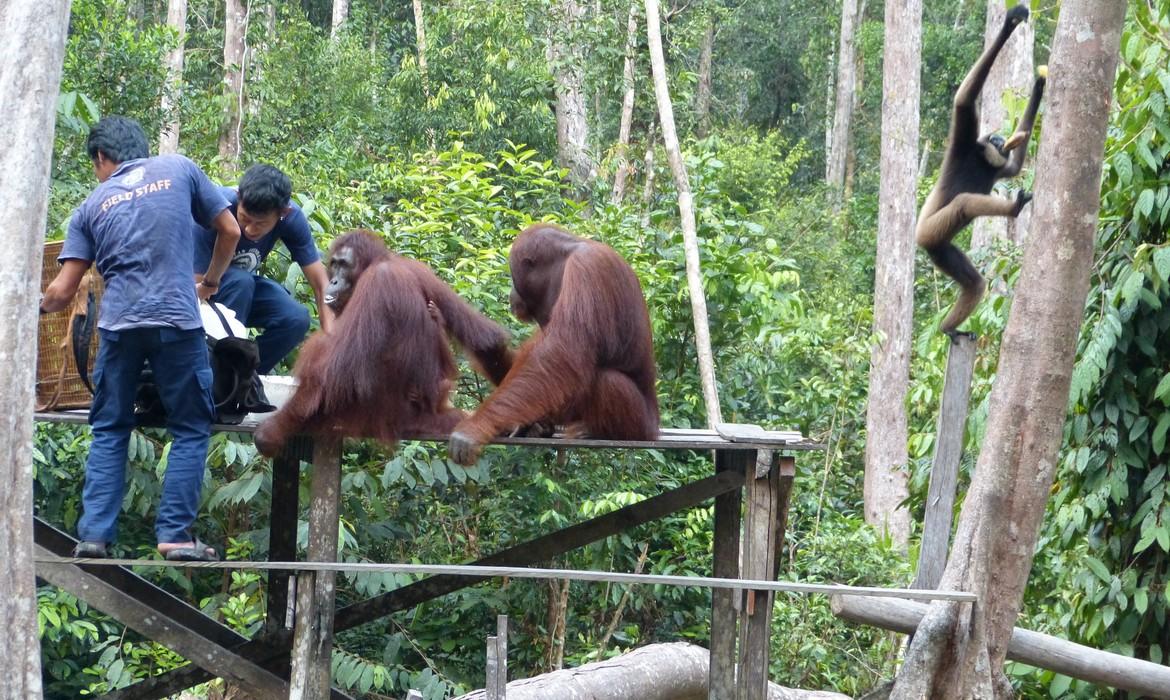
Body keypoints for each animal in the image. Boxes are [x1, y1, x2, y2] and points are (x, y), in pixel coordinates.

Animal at [916, 4, 1046, 337]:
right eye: (995, 139)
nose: (1001, 143)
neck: (983, 161)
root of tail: (922, 240)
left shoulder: (996, 166)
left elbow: (1014, 167)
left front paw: (1039, 86)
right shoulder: (965, 143)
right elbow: (963, 100)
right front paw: (1009, 24)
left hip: (940, 249)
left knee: (974, 284)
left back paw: (949, 329)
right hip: (932, 229)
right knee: (963, 203)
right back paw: (1013, 208)